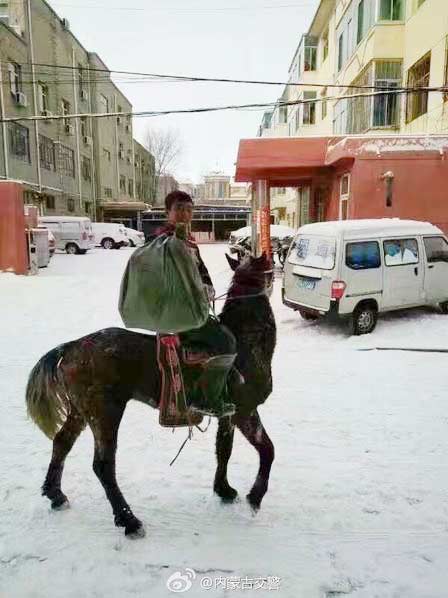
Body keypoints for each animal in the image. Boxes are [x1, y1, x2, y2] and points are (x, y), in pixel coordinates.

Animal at [26, 253, 276, 540]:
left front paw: (224, 490)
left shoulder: (230, 415)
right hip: (105, 413)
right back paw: (129, 520)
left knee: (61, 443)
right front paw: (255, 497)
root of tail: (71, 347)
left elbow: (224, 450)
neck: (246, 342)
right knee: (103, 465)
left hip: (80, 411)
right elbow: (267, 450)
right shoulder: (246, 411)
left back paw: (55, 495)